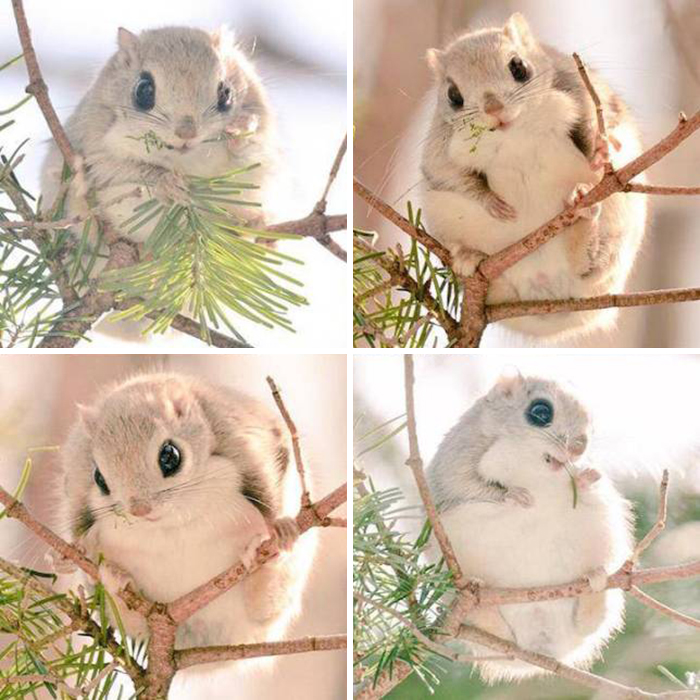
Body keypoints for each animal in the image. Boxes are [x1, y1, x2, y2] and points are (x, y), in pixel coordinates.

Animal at [420, 13, 648, 339]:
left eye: (519, 67)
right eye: (453, 96)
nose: (493, 109)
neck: (516, 138)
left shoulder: (581, 93)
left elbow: (596, 129)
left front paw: (601, 148)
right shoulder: (438, 153)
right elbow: (452, 178)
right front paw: (492, 203)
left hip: (618, 234)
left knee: (590, 268)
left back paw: (584, 212)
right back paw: (468, 257)